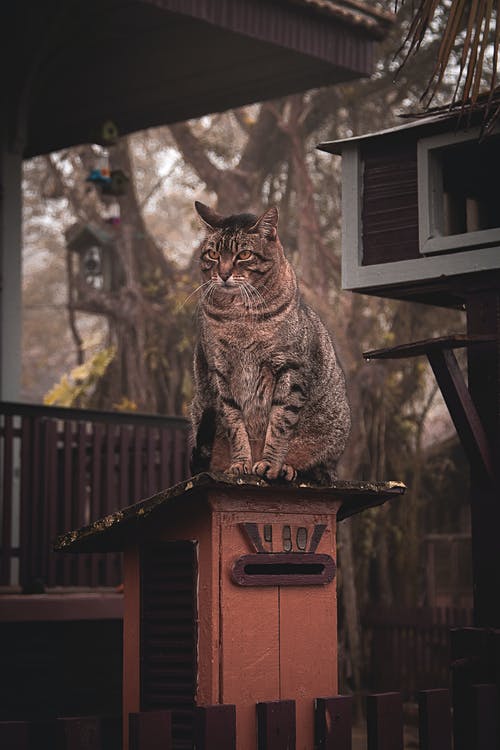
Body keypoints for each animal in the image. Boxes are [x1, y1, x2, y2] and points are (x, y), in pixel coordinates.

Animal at [191, 201, 352, 482]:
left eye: (244, 255)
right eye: (213, 254)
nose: (223, 274)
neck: (239, 316)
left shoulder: (289, 369)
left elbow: (279, 424)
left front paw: (270, 464)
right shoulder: (222, 374)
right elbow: (235, 424)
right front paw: (241, 463)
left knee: (319, 468)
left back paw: (289, 468)